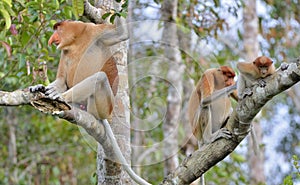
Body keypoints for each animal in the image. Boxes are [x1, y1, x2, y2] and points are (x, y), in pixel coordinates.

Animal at [29, 18, 150, 185]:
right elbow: (61, 80)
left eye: (57, 29)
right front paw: (39, 86)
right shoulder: (64, 52)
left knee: (100, 78)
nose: (52, 39)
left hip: (102, 105)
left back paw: (62, 97)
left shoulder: (94, 31)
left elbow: (121, 34)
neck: (76, 41)